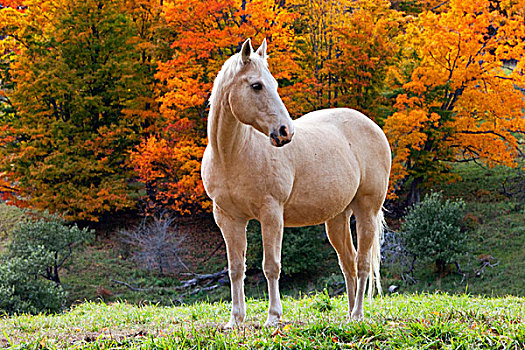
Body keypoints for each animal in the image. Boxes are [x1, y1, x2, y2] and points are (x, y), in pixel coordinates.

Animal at [201, 39, 388, 328]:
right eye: (257, 85)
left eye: (274, 84)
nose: (285, 132)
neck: (232, 154)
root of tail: (373, 126)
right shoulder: (228, 218)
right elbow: (236, 268)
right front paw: (236, 321)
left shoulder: (271, 214)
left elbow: (271, 265)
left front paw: (273, 317)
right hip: (338, 217)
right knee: (347, 263)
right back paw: (347, 317)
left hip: (366, 210)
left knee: (362, 263)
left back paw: (357, 315)